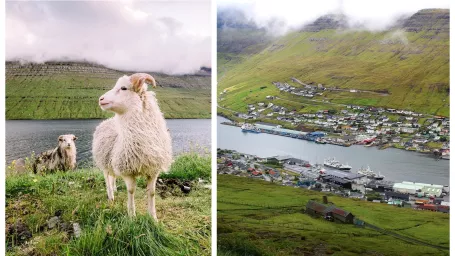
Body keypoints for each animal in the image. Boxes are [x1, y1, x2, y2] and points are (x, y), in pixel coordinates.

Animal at [92, 73, 173, 219]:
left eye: (124, 88)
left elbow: (151, 192)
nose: (101, 99)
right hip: (104, 162)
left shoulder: (153, 170)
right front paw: (132, 215)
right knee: (107, 178)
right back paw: (111, 196)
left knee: (112, 177)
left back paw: (114, 190)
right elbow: (131, 191)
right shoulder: (127, 170)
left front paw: (153, 217)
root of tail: (106, 121)